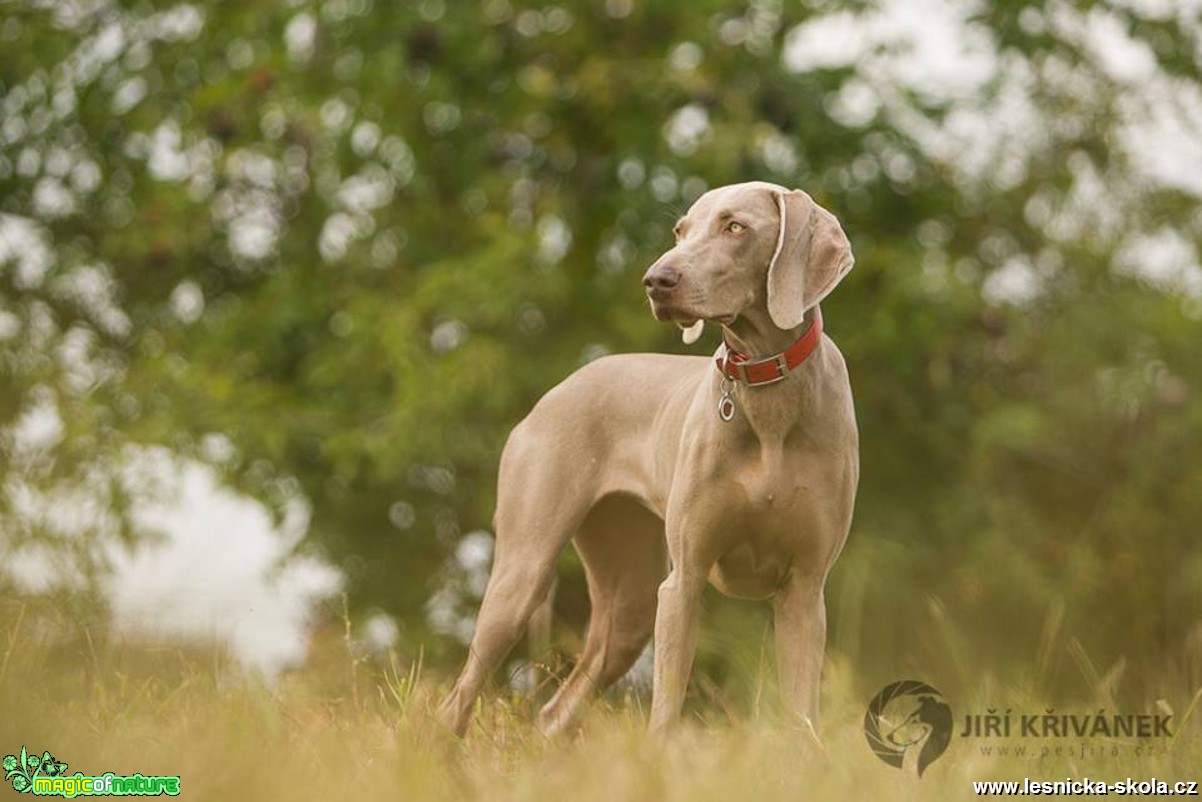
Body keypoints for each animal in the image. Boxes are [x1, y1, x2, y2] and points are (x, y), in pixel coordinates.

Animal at [437, 183, 860, 740]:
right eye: (680, 230)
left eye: (735, 227)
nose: (656, 280)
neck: (767, 390)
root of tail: (556, 391)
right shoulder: (683, 582)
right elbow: (665, 711)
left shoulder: (805, 590)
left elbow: (802, 717)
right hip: (524, 573)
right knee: (457, 700)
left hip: (628, 597)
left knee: (555, 711)